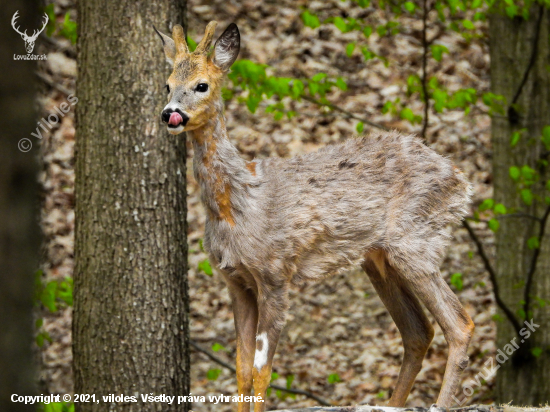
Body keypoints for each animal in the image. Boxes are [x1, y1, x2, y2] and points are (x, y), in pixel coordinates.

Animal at [157, 21, 476, 412]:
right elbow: (242, 369)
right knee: (419, 331)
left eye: (201, 85)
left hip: (416, 240)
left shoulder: (276, 273)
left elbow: (262, 371)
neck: (237, 207)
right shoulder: (235, 281)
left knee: (460, 324)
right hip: (379, 258)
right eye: (168, 84)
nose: (170, 113)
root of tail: (460, 180)